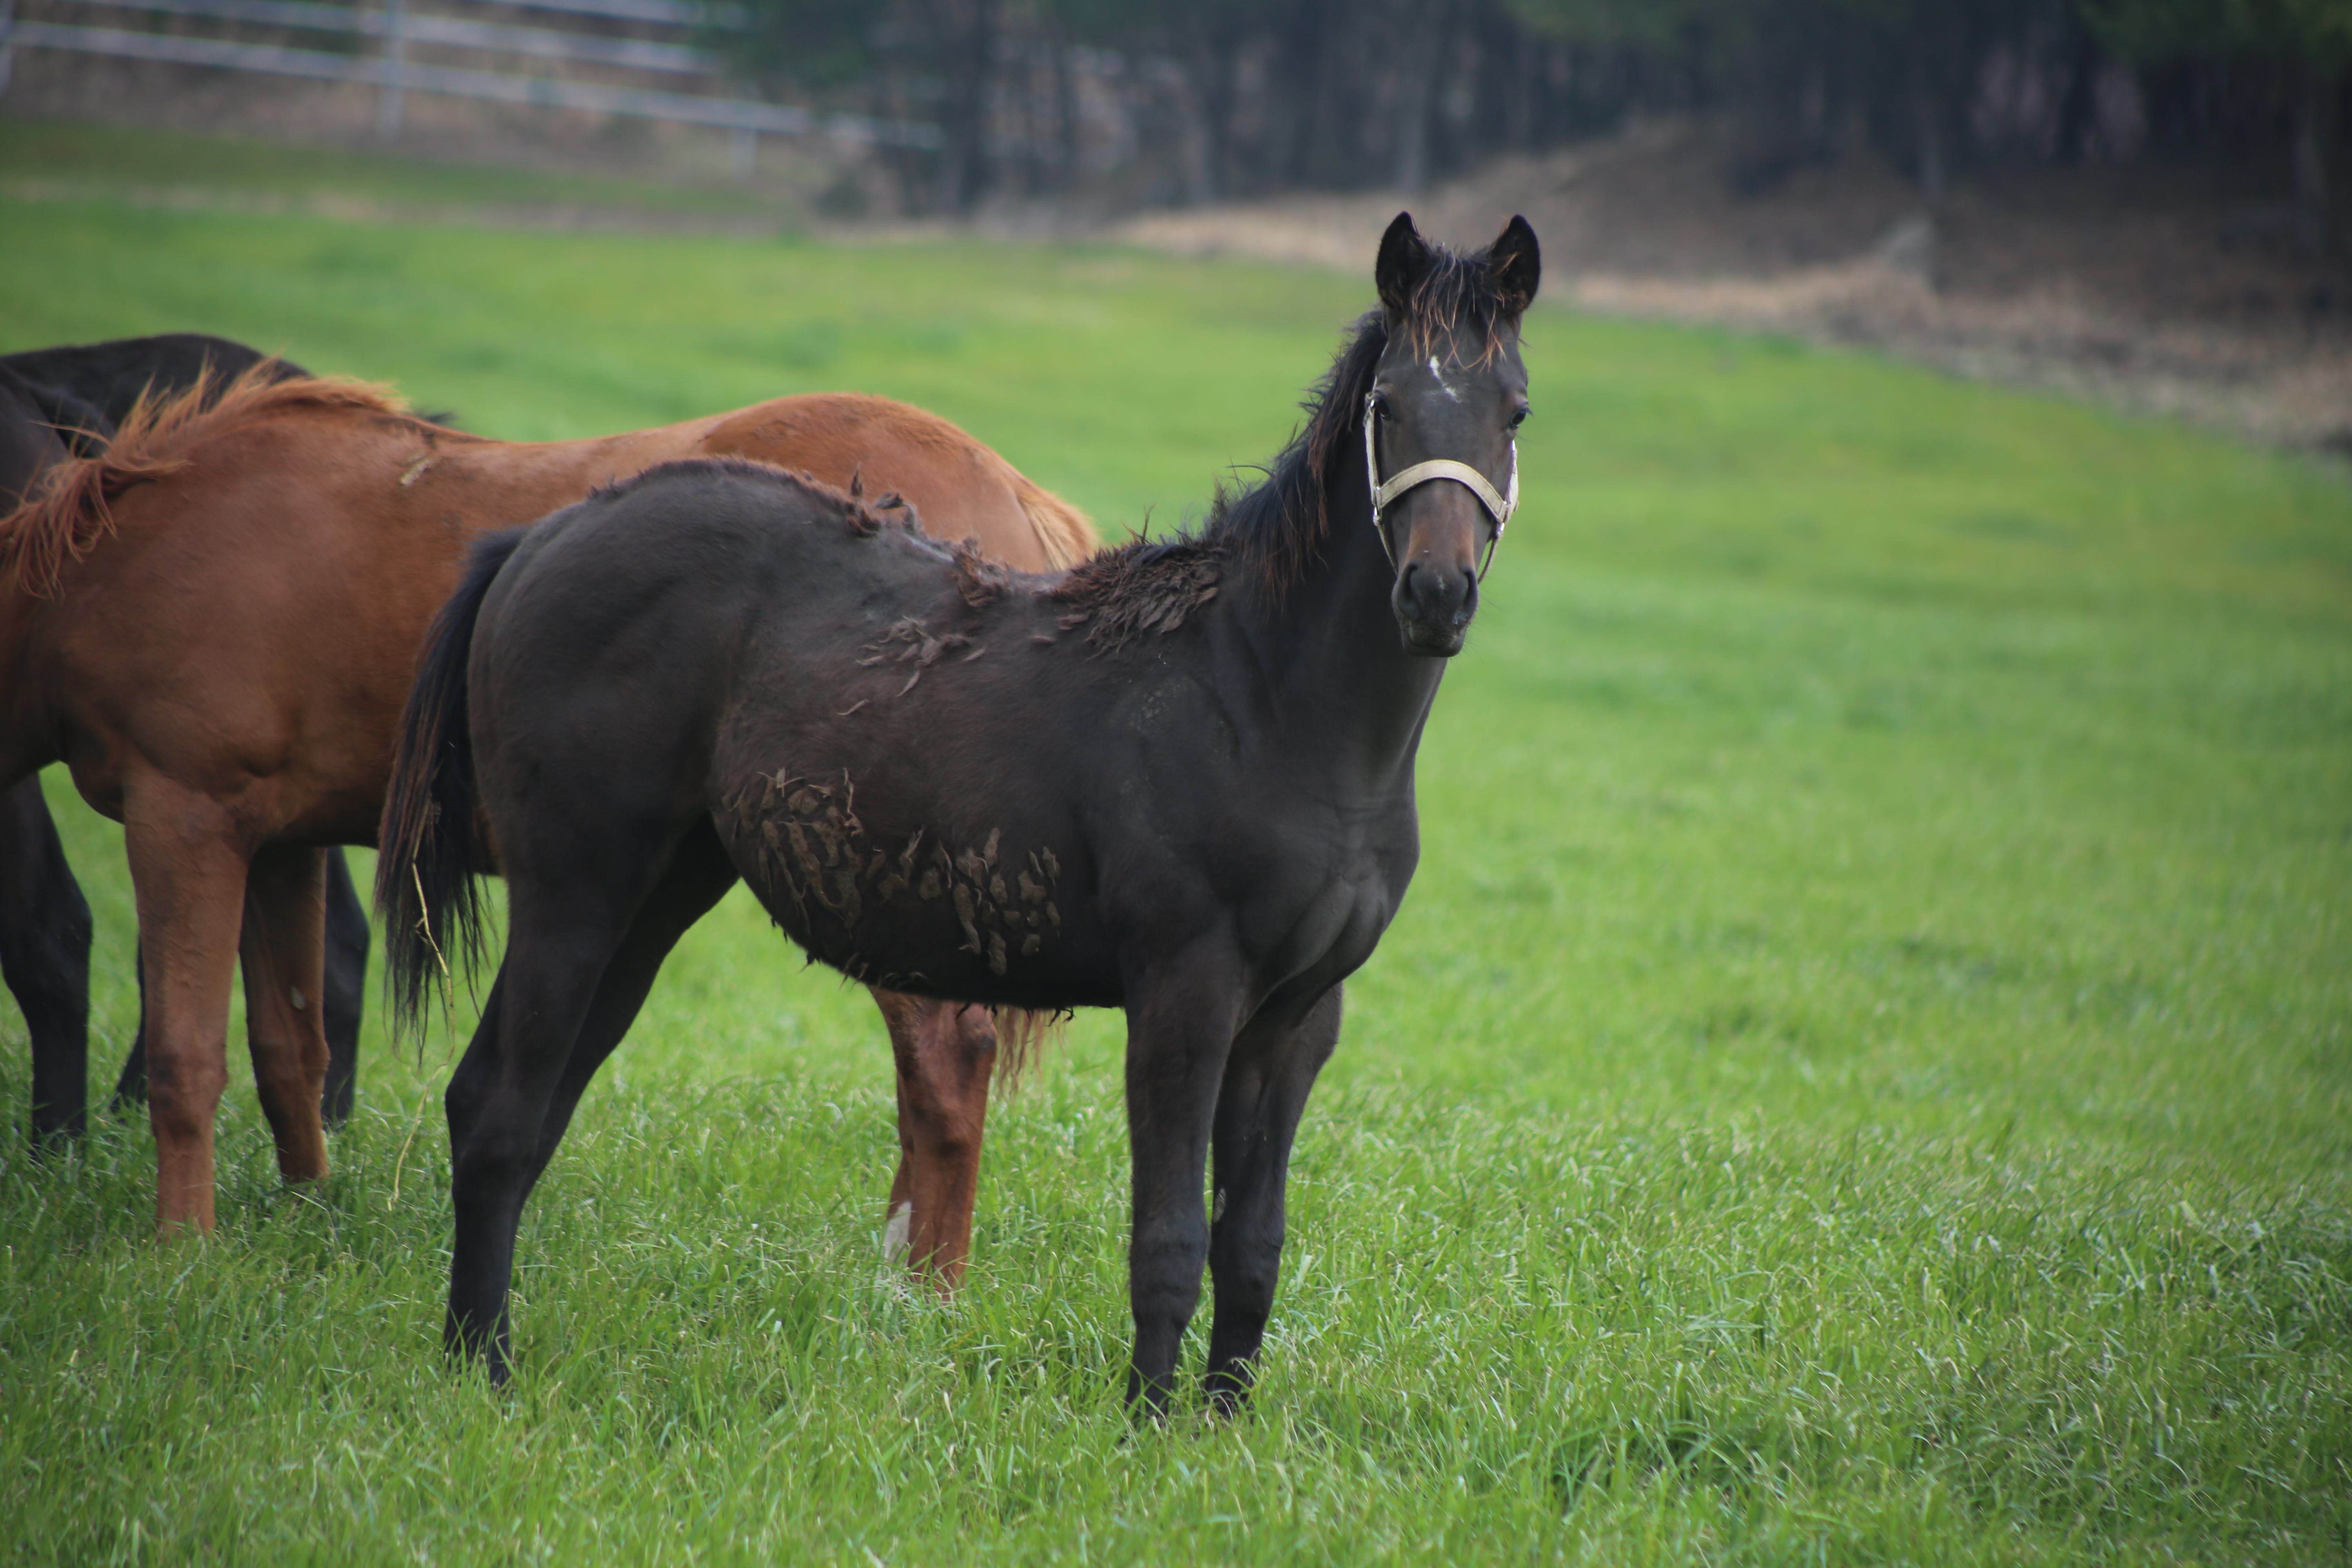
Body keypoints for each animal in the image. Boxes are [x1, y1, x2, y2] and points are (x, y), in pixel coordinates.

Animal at [376, 212, 1533, 1410]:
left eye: (1513, 410)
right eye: (1387, 406)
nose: (1435, 596)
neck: (1258, 692)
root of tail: (541, 538)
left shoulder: (1296, 1021)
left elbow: (1251, 1245)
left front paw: (1220, 1426)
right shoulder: (1186, 994)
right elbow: (1167, 1238)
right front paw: (1146, 1428)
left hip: (654, 901)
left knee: (511, 1107)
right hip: (575, 894)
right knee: (501, 1113)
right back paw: (482, 1368)